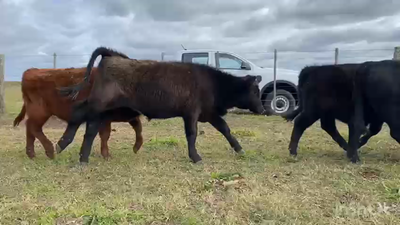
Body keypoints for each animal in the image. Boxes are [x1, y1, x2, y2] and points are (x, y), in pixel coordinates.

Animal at [14, 67, 144, 159]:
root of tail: (31, 71)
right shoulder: (105, 119)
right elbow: (105, 135)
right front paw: (106, 155)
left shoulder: (127, 116)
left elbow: (138, 127)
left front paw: (136, 147)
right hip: (40, 113)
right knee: (33, 127)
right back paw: (50, 151)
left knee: (30, 129)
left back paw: (31, 154)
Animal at [54, 46, 266, 164]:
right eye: (255, 91)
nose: (264, 109)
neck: (212, 83)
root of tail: (114, 55)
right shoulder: (191, 112)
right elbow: (192, 134)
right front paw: (195, 157)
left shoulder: (209, 113)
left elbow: (225, 129)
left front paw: (239, 149)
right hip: (100, 103)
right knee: (81, 117)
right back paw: (73, 151)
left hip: (107, 107)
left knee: (86, 121)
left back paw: (69, 148)